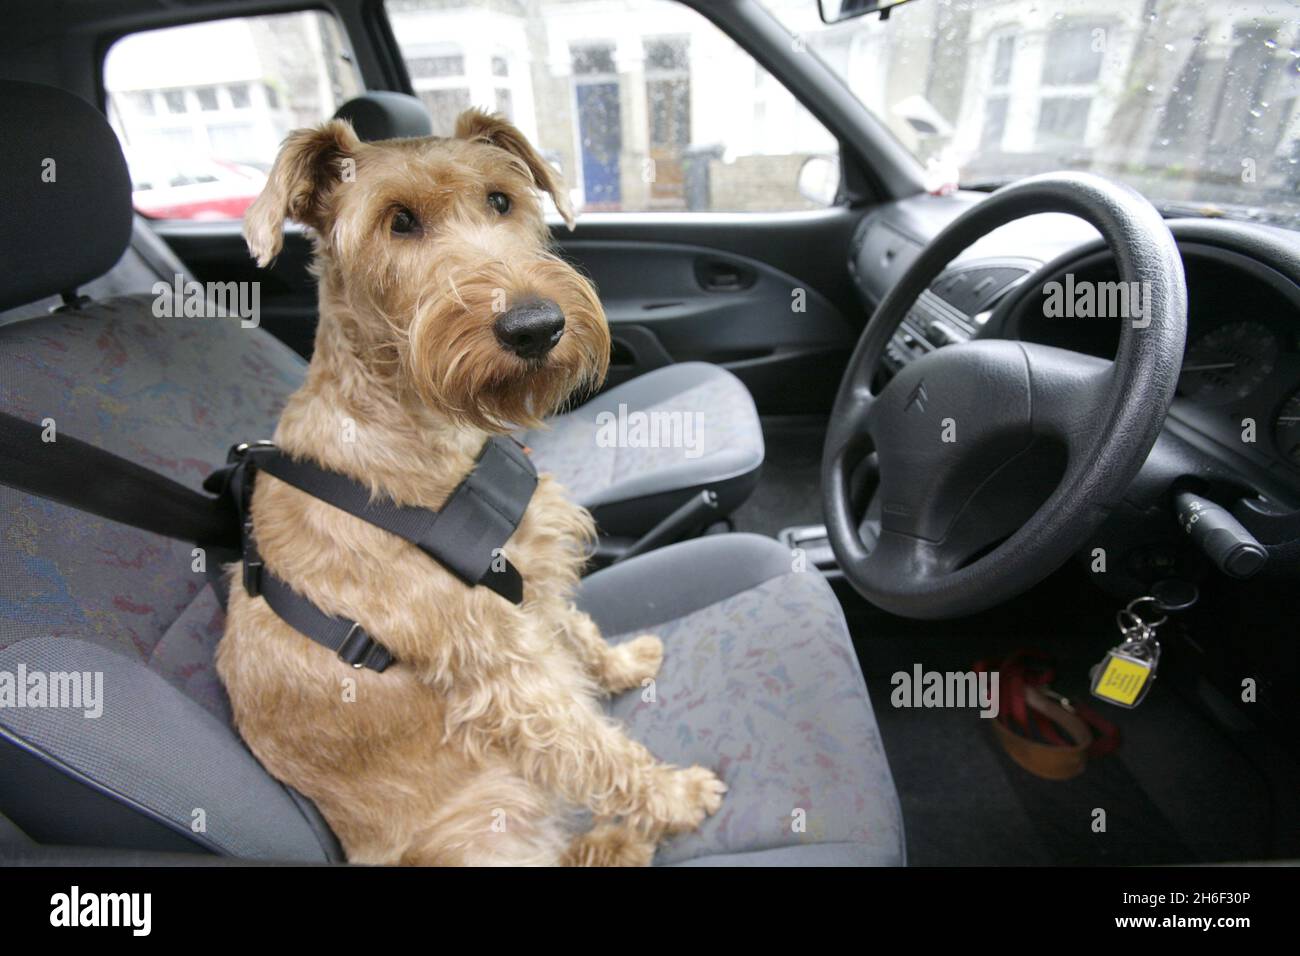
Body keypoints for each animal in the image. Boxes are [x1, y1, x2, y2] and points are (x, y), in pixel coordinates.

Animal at [220, 106, 733, 868]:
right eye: (398, 221)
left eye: (500, 200)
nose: (536, 326)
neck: (413, 421)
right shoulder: (498, 667)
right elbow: (588, 744)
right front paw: (673, 796)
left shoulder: (526, 585)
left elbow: (576, 633)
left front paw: (620, 662)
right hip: (491, 814)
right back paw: (622, 838)